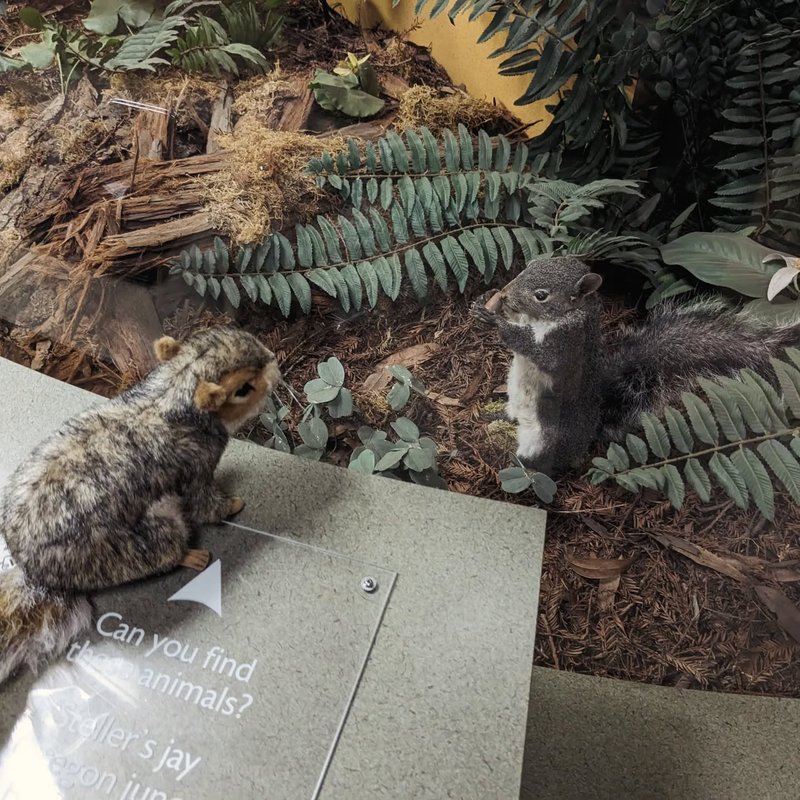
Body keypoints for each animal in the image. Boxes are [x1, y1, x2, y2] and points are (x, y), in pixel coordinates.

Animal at [0, 326, 280, 686]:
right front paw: (232, 504)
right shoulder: (195, 467)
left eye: (237, 334)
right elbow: (204, 505)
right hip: (131, 547)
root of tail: (36, 575)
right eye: (243, 389)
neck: (168, 394)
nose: (275, 364)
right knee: (162, 551)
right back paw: (190, 556)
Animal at [472, 256, 800, 478]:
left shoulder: (569, 343)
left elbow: (542, 354)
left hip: (547, 439)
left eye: (541, 295)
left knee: (540, 463)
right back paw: (493, 417)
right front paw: (484, 301)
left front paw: (497, 322)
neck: (560, 315)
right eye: (528, 267)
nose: (506, 292)